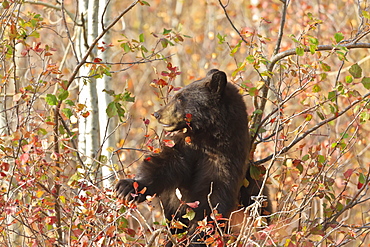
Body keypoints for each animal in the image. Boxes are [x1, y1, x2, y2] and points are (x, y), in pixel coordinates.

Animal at [115, 69, 268, 245]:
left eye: (180, 98)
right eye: (176, 95)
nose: (157, 114)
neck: (208, 137)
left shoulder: (226, 157)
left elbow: (212, 195)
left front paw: (198, 235)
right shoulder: (185, 145)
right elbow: (163, 164)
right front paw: (127, 187)